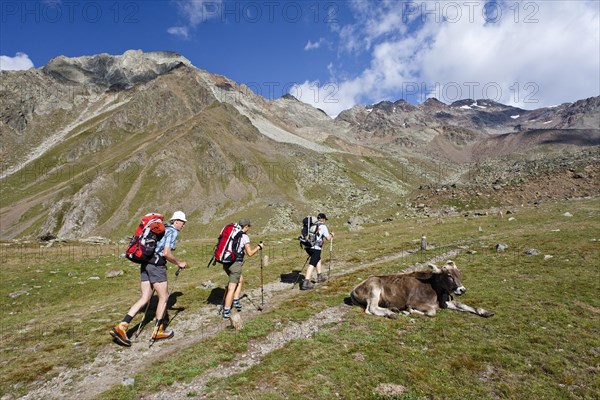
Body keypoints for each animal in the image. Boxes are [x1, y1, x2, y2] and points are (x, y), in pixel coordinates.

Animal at [350, 262, 494, 318]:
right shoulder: (413, 302)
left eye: (459, 274)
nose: (462, 289)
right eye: (449, 275)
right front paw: (410, 311)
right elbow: (431, 312)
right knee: (371, 308)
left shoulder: (446, 302)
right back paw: (391, 313)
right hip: (374, 288)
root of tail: (354, 288)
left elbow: (463, 305)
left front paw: (485, 312)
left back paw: (393, 309)